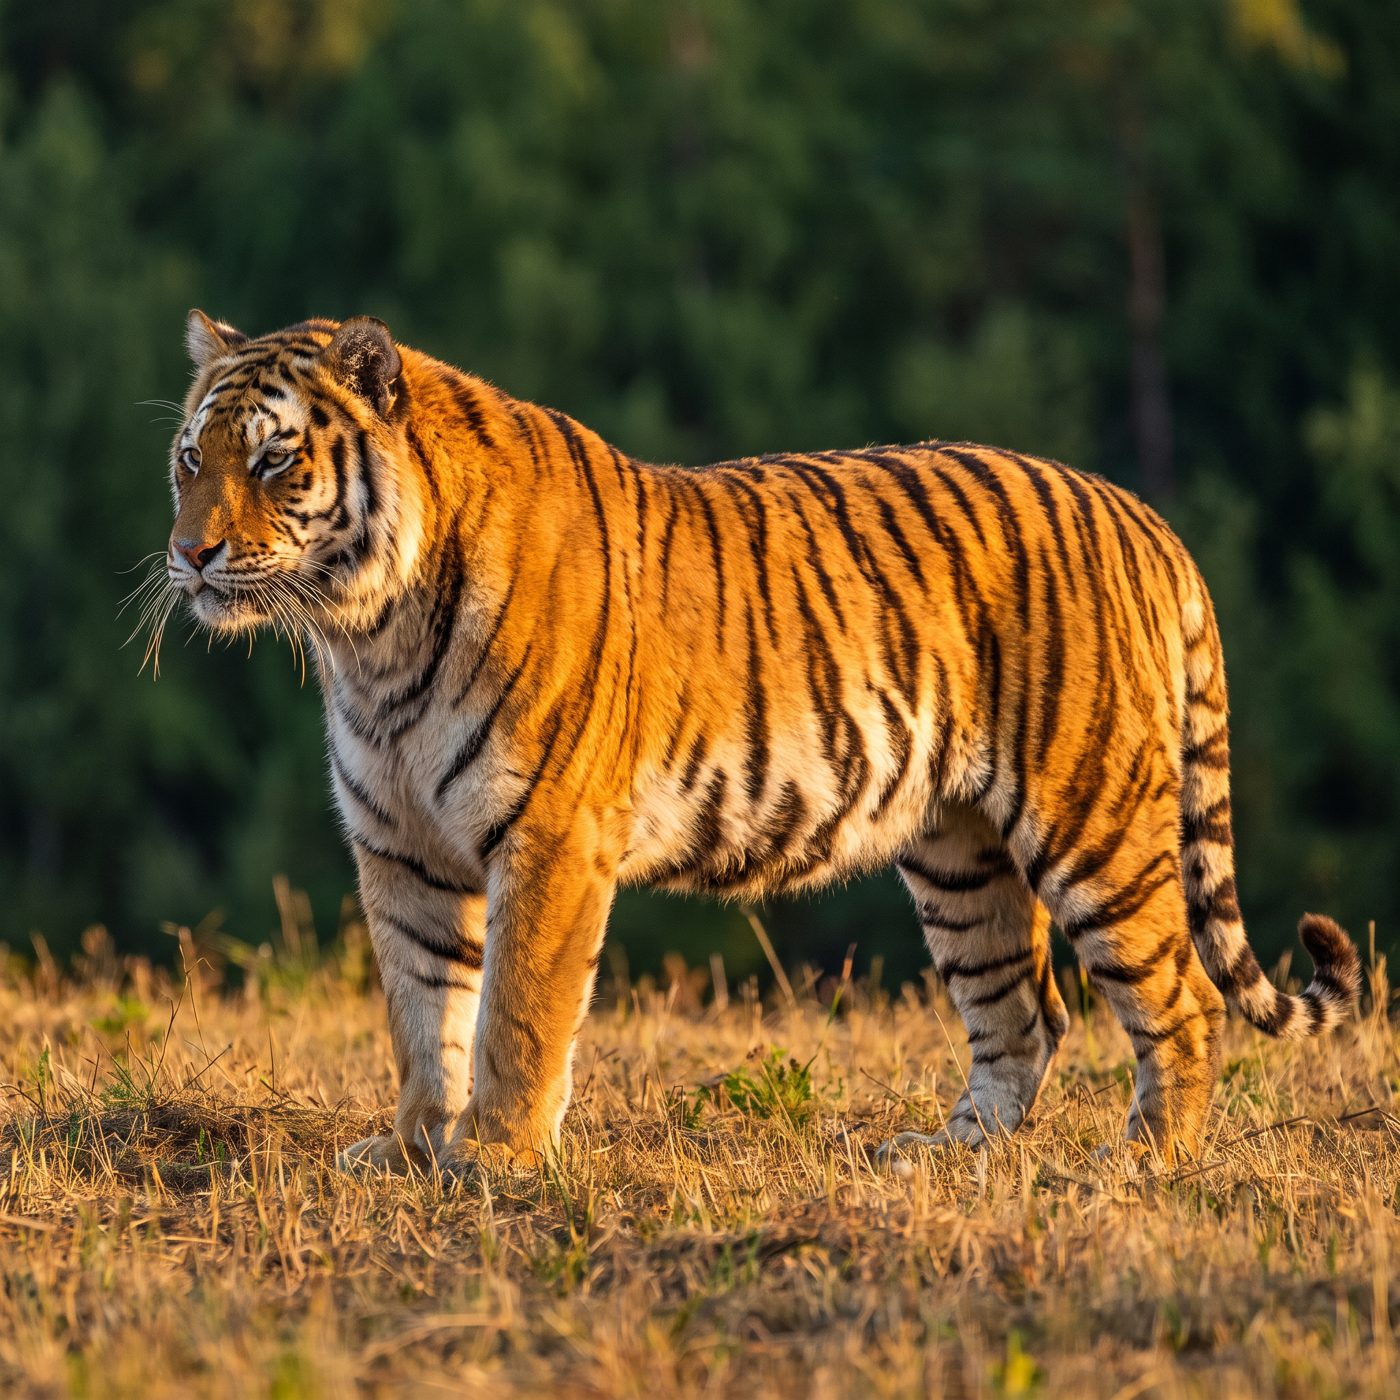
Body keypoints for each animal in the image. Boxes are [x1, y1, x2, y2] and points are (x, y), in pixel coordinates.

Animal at [160, 309, 1361, 1171]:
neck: (369, 636)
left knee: (1181, 1000)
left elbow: (516, 1010)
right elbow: (422, 1010)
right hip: (958, 853)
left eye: (273, 461)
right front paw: (412, 1146)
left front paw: (494, 1158)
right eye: (188, 458)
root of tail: (1141, 515)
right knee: (1023, 1014)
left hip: (1093, 821)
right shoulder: (400, 848)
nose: (189, 554)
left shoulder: (550, 837)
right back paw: (945, 1156)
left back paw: (1145, 1162)